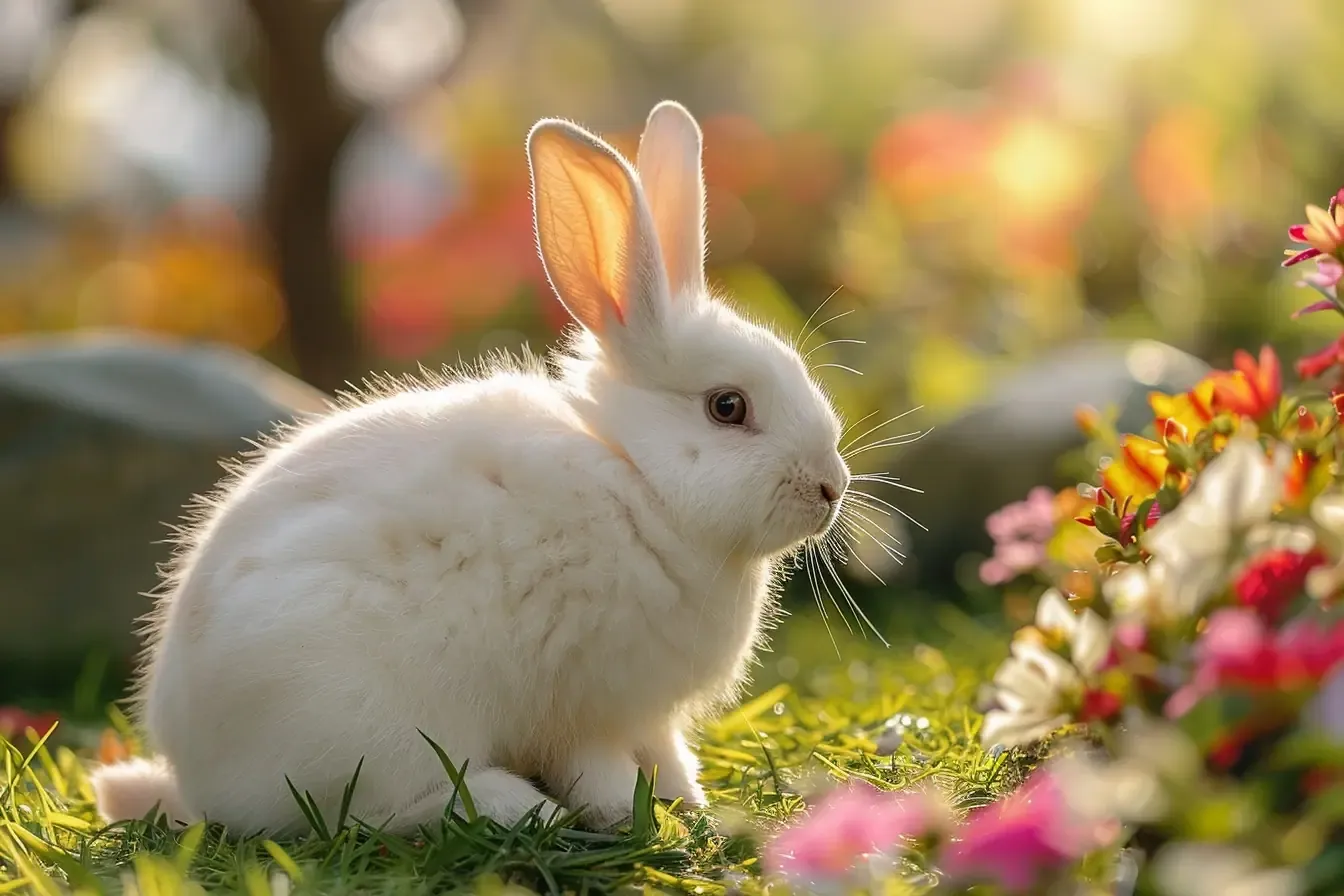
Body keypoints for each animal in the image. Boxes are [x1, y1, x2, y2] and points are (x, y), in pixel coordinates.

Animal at [90, 100, 852, 836]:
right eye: (728, 407)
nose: (831, 488)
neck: (640, 479)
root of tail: (197, 781)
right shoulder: (588, 707)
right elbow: (597, 766)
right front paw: (625, 813)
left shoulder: (649, 717)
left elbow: (667, 753)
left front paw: (689, 801)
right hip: (375, 726)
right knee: (371, 812)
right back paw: (515, 807)